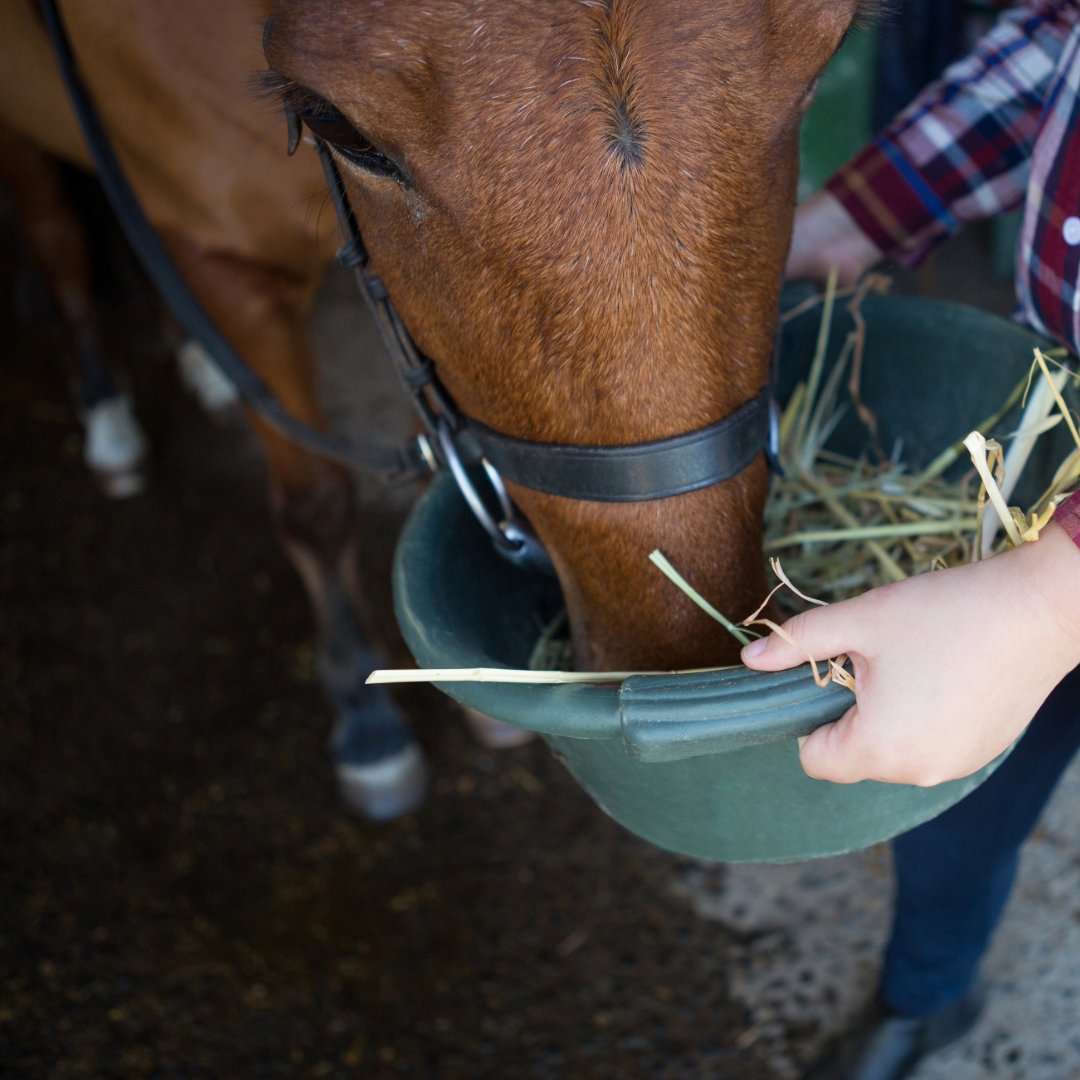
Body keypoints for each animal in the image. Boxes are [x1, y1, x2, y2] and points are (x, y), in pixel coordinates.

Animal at [0, 0, 863, 818]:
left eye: (829, 52)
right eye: (331, 124)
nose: (676, 647)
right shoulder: (222, 261)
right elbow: (316, 505)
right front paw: (366, 719)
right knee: (55, 241)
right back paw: (110, 419)